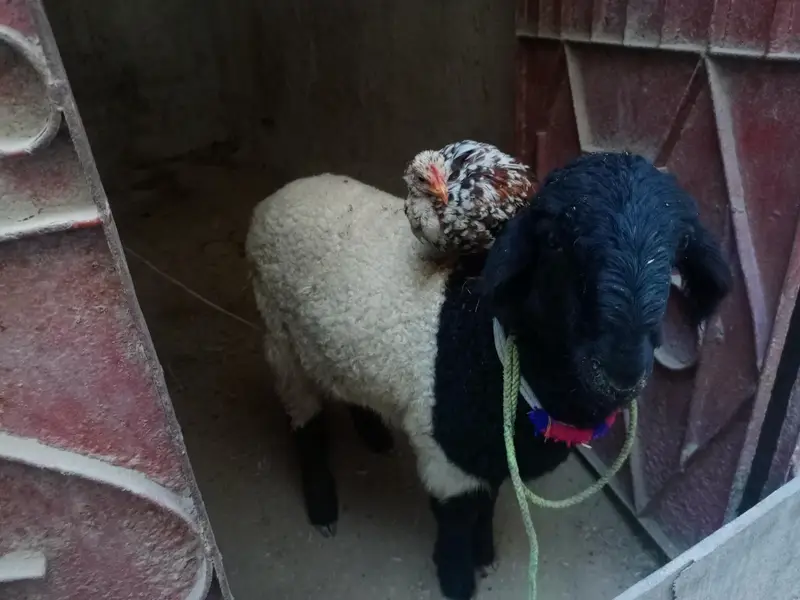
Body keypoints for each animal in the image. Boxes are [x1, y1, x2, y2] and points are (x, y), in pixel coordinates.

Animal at [245, 152, 732, 599]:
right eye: (554, 242)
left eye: (677, 252)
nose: (621, 369)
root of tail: (274, 199)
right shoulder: (447, 453)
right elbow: (458, 517)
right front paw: (458, 579)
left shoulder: (488, 453)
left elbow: (488, 499)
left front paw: (484, 554)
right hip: (279, 334)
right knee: (304, 420)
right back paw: (322, 506)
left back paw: (373, 435)